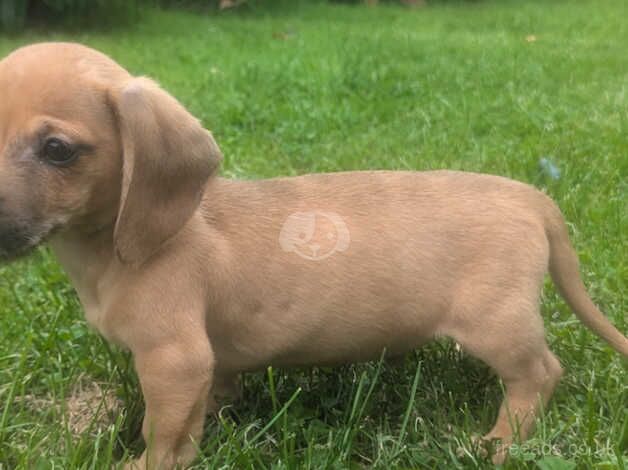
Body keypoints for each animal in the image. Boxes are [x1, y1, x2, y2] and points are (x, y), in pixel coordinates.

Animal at [0, 42, 624, 468]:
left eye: (58, 150)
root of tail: (531, 197)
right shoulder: (203, 365)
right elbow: (205, 405)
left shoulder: (173, 360)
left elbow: (163, 433)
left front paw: (147, 462)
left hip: (498, 326)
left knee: (539, 374)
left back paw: (501, 441)